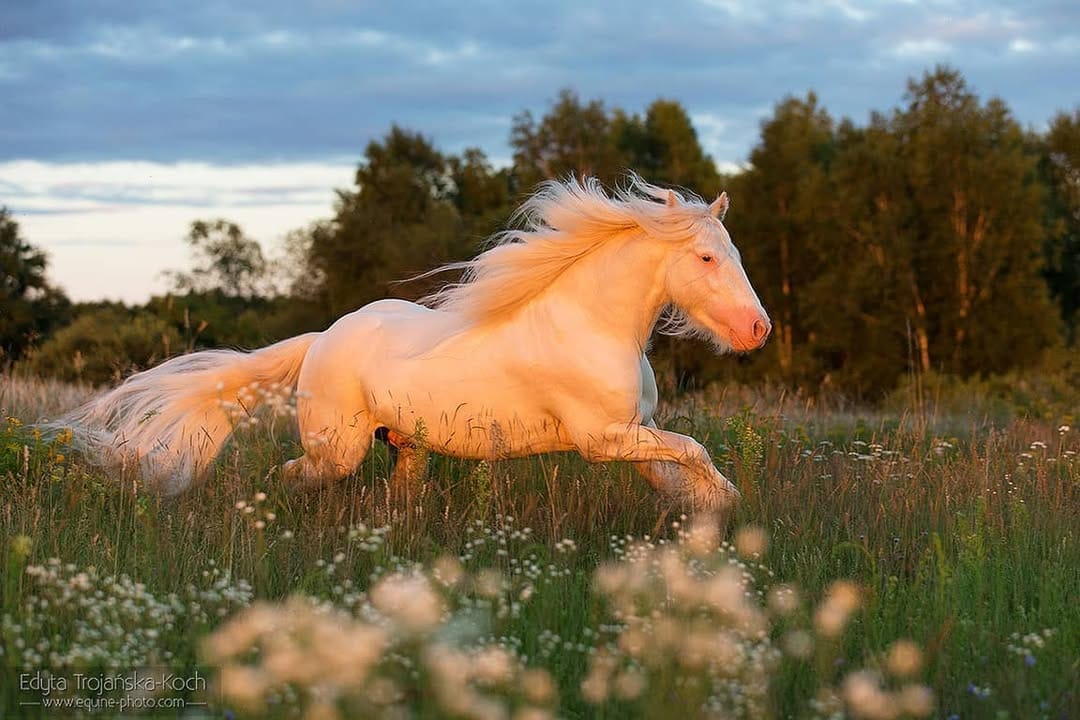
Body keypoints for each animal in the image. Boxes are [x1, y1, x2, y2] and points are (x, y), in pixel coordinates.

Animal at [52, 175, 771, 511]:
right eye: (707, 257)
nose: (758, 329)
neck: (590, 325)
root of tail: (320, 341)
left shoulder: (633, 433)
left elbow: (680, 466)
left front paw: (705, 517)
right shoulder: (601, 439)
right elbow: (695, 450)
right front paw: (727, 509)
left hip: (406, 449)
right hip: (336, 451)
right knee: (290, 477)